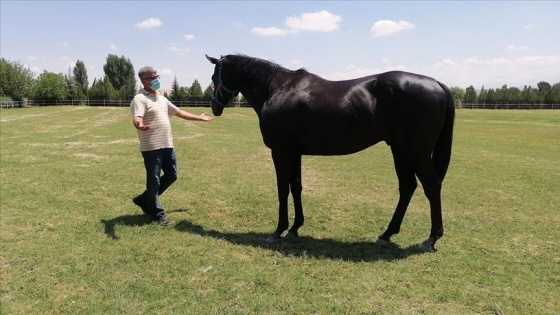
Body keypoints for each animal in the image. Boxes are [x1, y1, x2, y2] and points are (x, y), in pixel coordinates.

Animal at [206, 53, 456, 252]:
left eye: (213, 77)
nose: (214, 107)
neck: (277, 89)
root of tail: (437, 83)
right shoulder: (295, 152)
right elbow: (296, 187)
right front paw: (295, 228)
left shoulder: (281, 151)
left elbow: (282, 189)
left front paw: (278, 231)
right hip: (400, 149)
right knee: (407, 187)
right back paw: (386, 235)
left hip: (416, 152)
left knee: (432, 186)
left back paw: (431, 239)